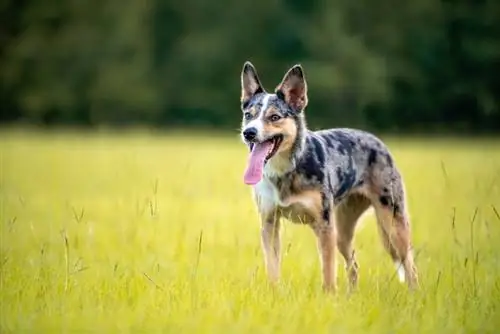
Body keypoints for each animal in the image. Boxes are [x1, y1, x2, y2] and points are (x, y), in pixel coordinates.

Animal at [240, 62, 420, 292]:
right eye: (249, 115)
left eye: (274, 117)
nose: (249, 133)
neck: (288, 168)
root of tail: (378, 142)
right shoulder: (269, 224)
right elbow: (273, 268)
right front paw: (274, 293)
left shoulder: (324, 226)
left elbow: (328, 272)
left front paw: (328, 298)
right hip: (343, 232)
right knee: (354, 265)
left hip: (392, 224)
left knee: (409, 266)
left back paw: (415, 294)